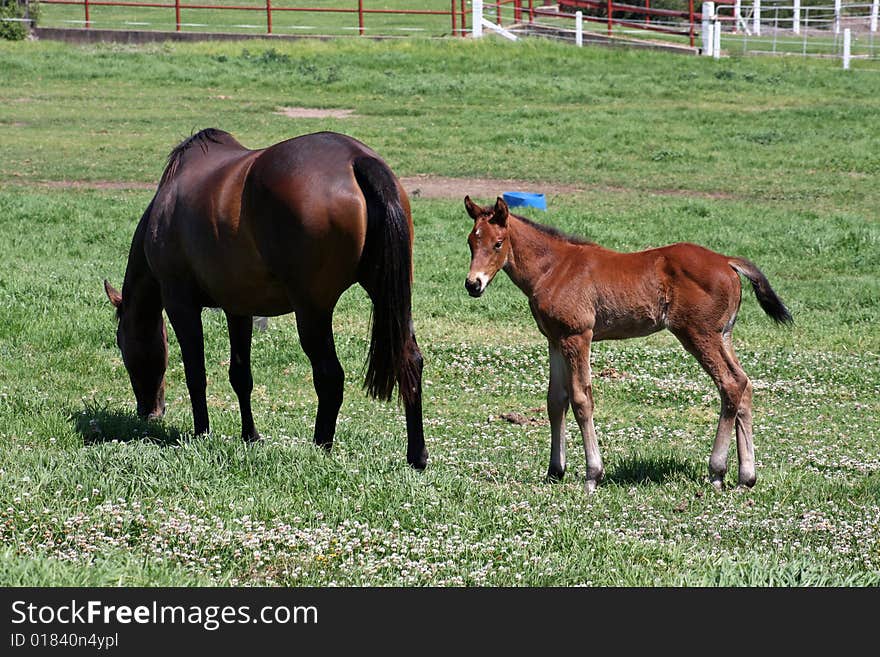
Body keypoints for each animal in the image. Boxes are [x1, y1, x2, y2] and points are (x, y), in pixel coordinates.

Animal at [464, 196, 796, 492]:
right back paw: (746, 478)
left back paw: (717, 472)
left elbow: (581, 399)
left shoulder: (578, 336)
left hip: (699, 334)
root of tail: (727, 261)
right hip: (723, 335)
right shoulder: (555, 339)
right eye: (471, 242)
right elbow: (555, 400)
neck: (553, 268)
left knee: (730, 384)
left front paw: (592, 475)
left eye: (498, 243)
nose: (473, 284)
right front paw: (554, 472)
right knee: (745, 384)